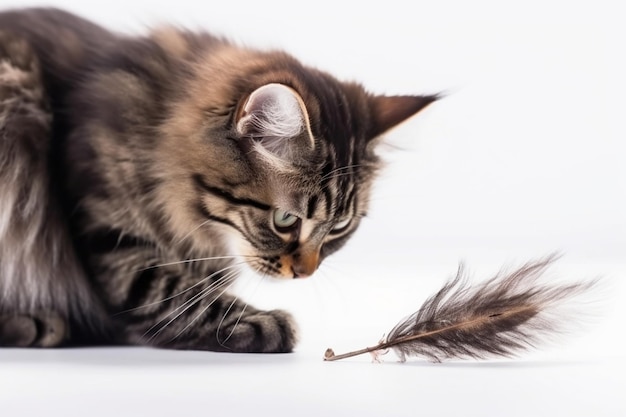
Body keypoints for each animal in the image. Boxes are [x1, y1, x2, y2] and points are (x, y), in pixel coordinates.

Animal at [0, 7, 436, 352]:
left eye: (340, 227)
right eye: (285, 220)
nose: (305, 273)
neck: (156, 123)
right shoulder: (110, 233)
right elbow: (178, 295)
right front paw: (264, 323)